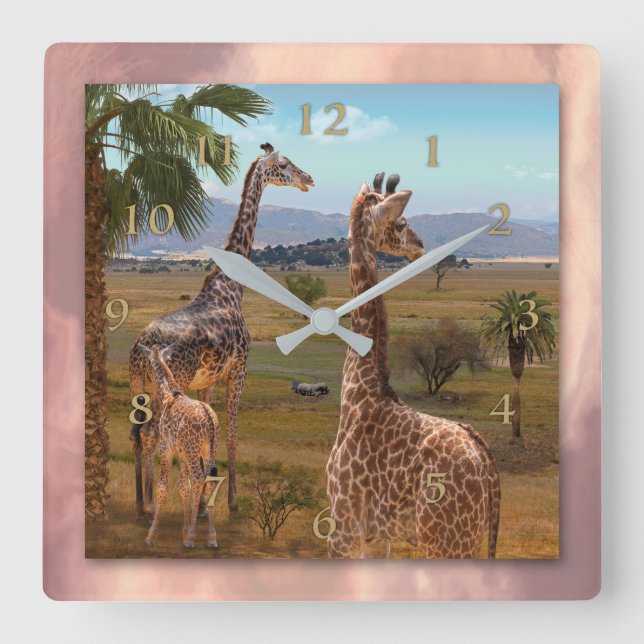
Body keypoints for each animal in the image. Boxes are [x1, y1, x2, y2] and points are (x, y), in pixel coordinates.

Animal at [129, 143, 314, 516]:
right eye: (283, 165)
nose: (308, 178)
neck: (232, 288)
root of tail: (142, 346)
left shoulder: (208, 381)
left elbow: (209, 432)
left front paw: (204, 505)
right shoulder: (239, 369)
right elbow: (231, 433)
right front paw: (231, 503)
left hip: (139, 386)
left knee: (138, 434)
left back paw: (141, 505)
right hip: (171, 383)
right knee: (155, 433)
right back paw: (155, 505)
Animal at [138, 344, 220, 549]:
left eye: (148, 361)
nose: (147, 376)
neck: (169, 394)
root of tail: (210, 419)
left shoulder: (166, 446)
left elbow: (162, 487)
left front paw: (151, 535)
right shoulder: (181, 452)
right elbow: (184, 486)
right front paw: (183, 532)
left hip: (193, 449)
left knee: (199, 478)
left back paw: (192, 537)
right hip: (208, 449)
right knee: (209, 480)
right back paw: (211, 537)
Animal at [326, 174, 501, 559]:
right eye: (402, 222)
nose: (420, 245)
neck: (360, 389)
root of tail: (486, 462)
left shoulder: (343, 525)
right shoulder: (377, 537)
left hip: (446, 539)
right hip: (468, 538)